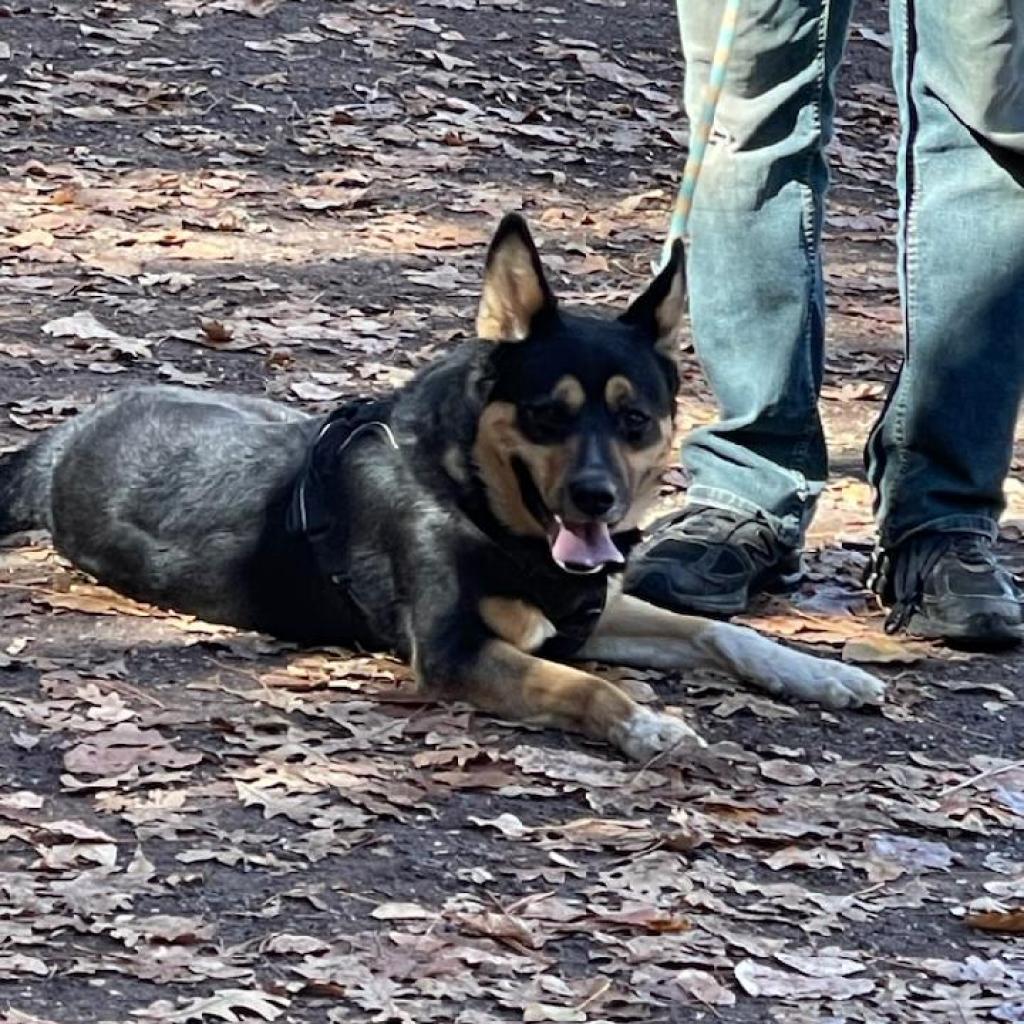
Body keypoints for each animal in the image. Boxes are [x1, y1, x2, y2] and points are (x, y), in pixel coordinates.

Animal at [0, 216, 880, 761]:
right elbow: (583, 685)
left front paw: (823, 674)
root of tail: (60, 444)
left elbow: (720, 634)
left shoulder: (587, 613)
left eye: (635, 419)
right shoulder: (460, 652)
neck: (474, 501)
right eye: (547, 414)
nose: (596, 498)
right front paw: (644, 726)